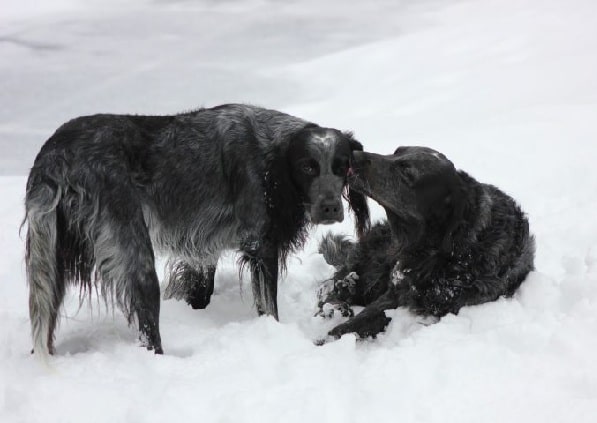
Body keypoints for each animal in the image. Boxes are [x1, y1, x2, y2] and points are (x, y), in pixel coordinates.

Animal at [24, 104, 368, 356]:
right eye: (308, 167)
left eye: (342, 166)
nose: (330, 208)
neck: (271, 157)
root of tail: (54, 153)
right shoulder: (261, 247)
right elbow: (269, 309)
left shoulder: (202, 250)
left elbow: (201, 290)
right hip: (136, 261)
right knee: (149, 333)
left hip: (52, 265)